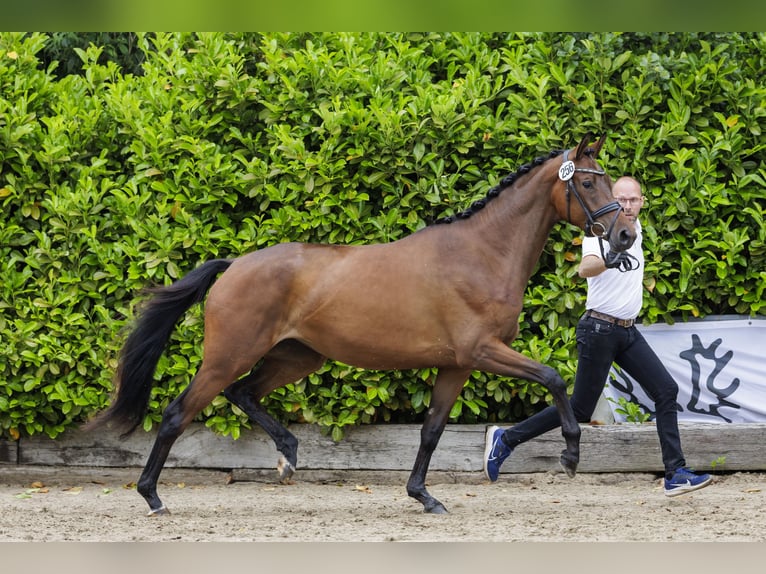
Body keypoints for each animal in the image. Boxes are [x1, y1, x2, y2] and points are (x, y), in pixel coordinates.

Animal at [85, 133, 636, 516]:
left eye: (610, 180)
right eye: (588, 181)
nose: (625, 235)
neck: (482, 252)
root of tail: (234, 264)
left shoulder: (455, 365)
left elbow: (431, 430)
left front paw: (424, 497)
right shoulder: (482, 350)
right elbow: (554, 378)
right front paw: (570, 455)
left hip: (297, 356)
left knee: (244, 394)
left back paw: (288, 456)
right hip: (229, 355)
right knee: (178, 413)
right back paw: (152, 497)